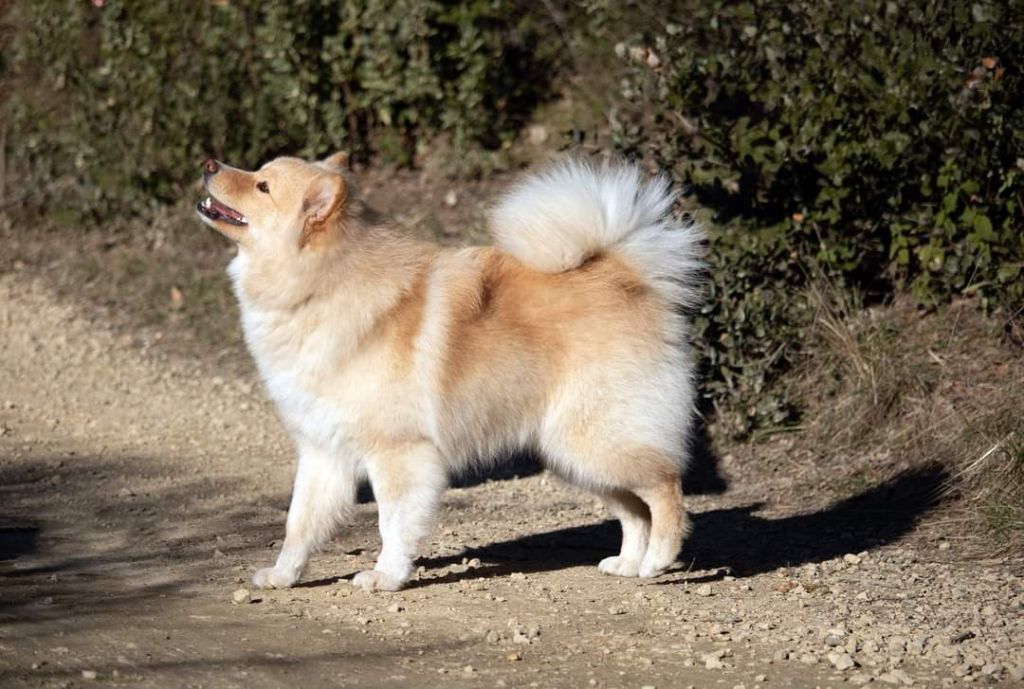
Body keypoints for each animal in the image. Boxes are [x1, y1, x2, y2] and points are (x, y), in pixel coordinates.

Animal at [193, 151, 704, 589]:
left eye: (262, 186)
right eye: (258, 173)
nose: (209, 163)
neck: (320, 286)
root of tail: (623, 275)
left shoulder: (398, 451)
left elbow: (392, 522)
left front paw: (385, 576)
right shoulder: (323, 450)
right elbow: (299, 523)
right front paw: (283, 575)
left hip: (595, 439)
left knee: (664, 487)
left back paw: (658, 559)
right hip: (573, 452)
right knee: (633, 508)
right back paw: (629, 563)